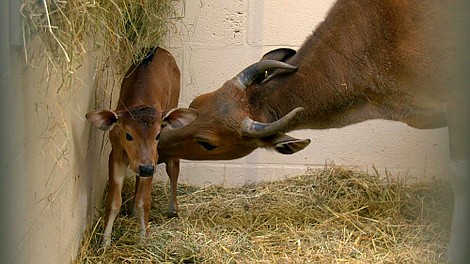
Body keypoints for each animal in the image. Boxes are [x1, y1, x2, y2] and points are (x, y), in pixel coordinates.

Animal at [86, 47, 196, 248]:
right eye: (128, 135)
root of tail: (159, 48)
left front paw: (144, 239)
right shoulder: (116, 154)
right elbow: (114, 201)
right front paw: (104, 243)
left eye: (157, 135)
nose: (146, 168)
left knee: (173, 166)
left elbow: (144, 200)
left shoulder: (153, 156)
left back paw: (173, 209)